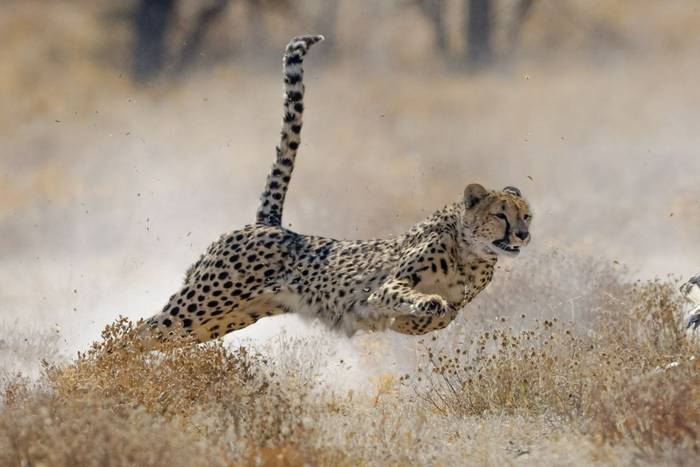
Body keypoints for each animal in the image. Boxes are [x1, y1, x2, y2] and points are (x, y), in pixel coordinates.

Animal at [138, 34, 532, 345]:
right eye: (501, 215)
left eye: (527, 216)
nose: (523, 235)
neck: (470, 253)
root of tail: (268, 224)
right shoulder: (386, 286)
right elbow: (409, 296)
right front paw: (426, 303)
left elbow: (443, 316)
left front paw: (422, 314)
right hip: (202, 303)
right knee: (136, 332)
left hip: (220, 319)